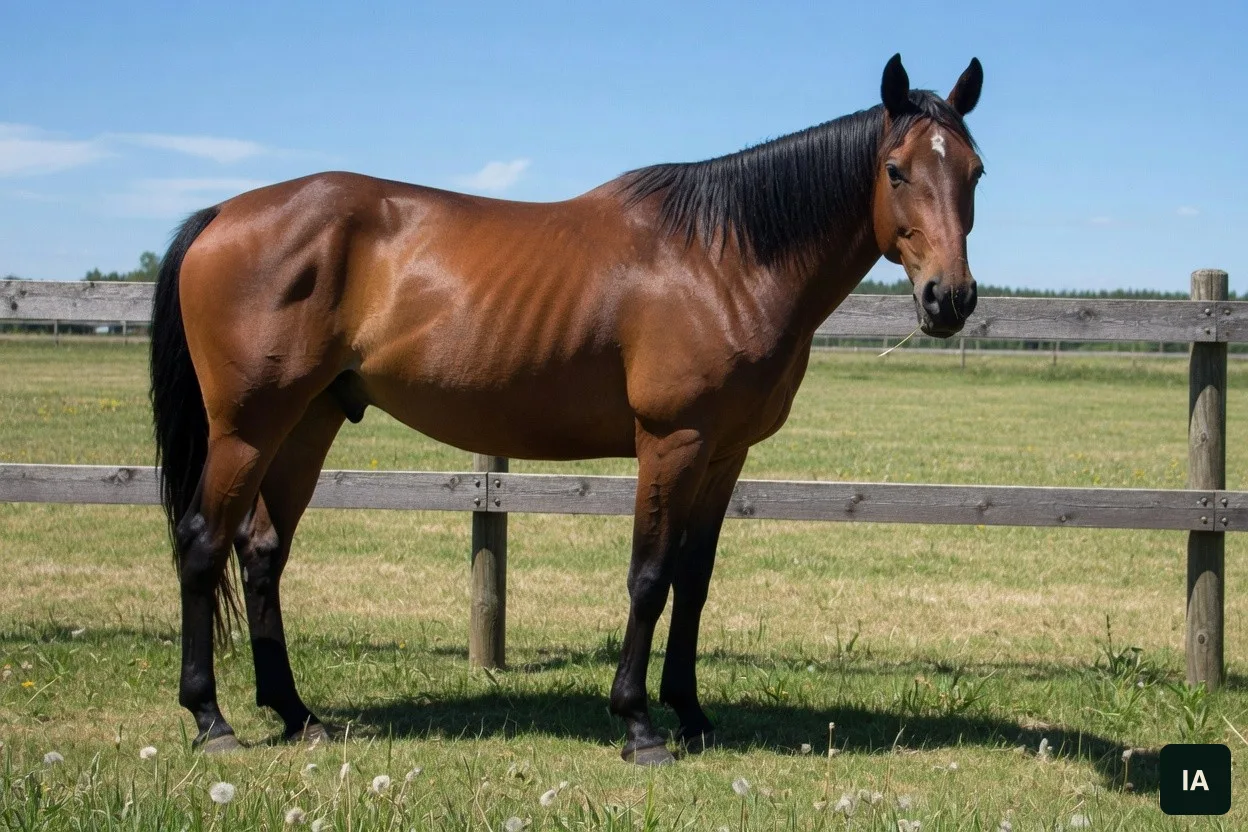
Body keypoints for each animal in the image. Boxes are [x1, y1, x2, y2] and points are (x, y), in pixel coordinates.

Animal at [150, 53, 984, 765]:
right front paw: (639, 724)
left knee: (261, 551)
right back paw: (211, 721)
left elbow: (694, 579)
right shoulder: (671, 441)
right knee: (202, 544)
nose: (949, 299)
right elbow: (649, 576)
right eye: (896, 170)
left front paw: (692, 714)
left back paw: (297, 714)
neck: (722, 260)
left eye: (974, 171)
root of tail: (222, 213)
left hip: (308, 421)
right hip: (246, 428)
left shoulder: (725, 453)